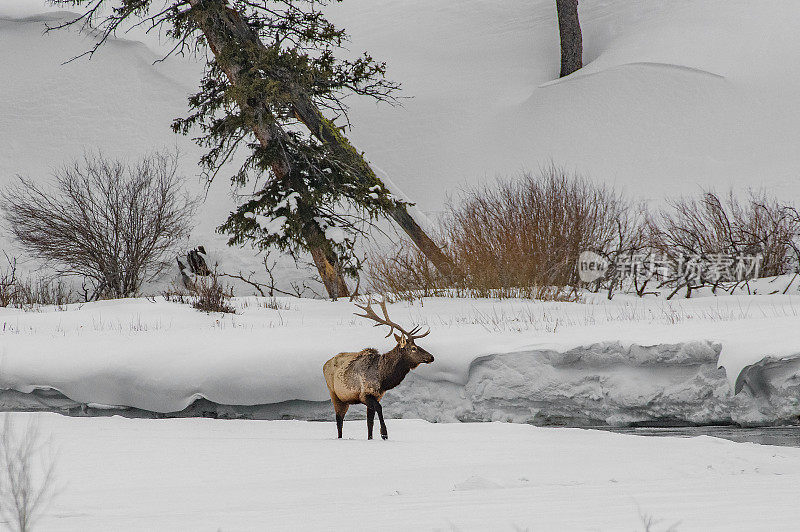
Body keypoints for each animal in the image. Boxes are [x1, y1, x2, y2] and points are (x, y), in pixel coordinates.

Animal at [322, 300, 434, 440]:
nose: (431, 357)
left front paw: (371, 438)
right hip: (335, 394)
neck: (383, 379)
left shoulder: (378, 395)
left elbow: (370, 422)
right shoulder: (364, 395)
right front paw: (384, 433)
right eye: (413, 348)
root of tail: (324, 364)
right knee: (339, 420)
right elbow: (379, 409)